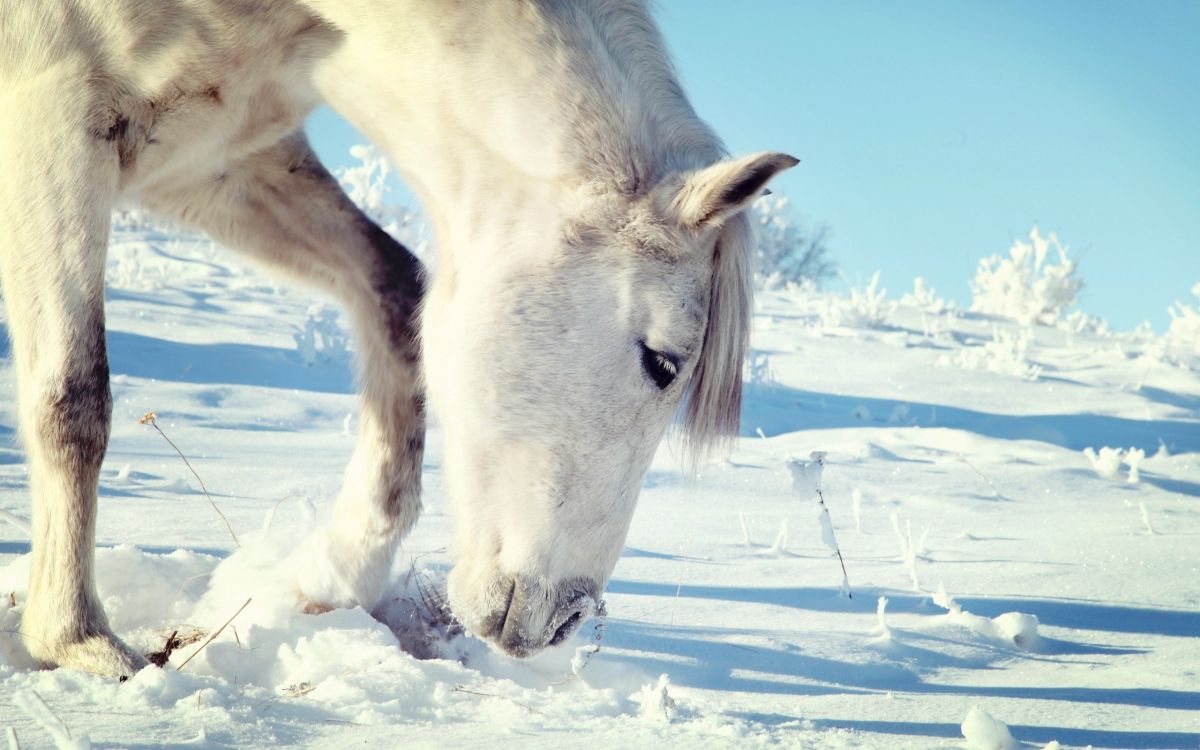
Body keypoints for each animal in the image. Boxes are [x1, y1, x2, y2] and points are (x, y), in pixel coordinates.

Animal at [0, 0, 796, 677]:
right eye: (662, 362)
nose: (564, 620)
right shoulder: (54, 119)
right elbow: (73, 399)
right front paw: (77, 640)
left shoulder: (213, 159)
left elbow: (394, 289)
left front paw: (332, 574)